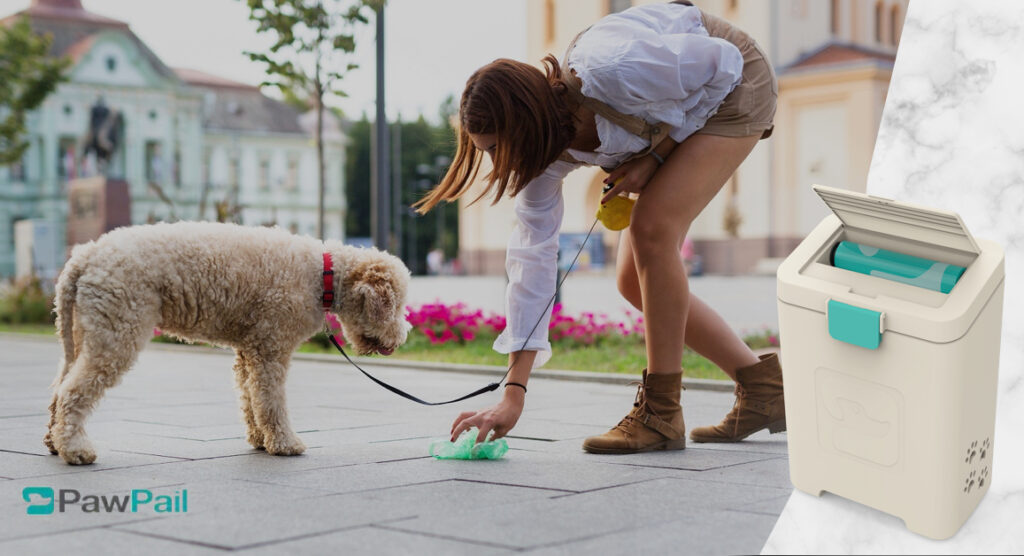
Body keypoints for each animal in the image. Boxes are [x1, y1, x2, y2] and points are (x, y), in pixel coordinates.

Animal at [44, 222, 411, 464]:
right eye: (397, 305)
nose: (403, 337)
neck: (323, 276)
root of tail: (83, 257)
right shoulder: (271, 348)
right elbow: (271, 401)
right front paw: (285, 443)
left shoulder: (249, 350)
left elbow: (250, 399)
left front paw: (260, 440)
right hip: (117, 331)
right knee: (74, 391)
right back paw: (76, 450)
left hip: (84, 332)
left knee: (59, 387)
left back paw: (54, 441)